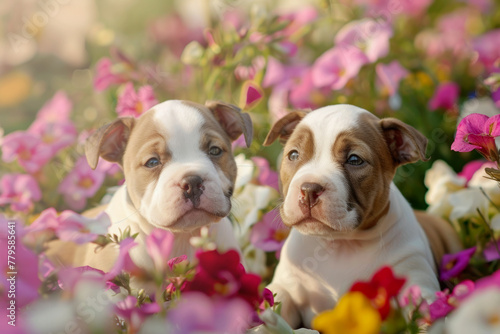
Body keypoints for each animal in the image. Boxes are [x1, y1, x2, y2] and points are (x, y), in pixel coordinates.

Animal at [264, 104, 462, 328]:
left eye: (354, 160)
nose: (309, 189)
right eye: (293, 155)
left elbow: (426, 311)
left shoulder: (414, 275)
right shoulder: (287, 286)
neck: (341, 244)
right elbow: (272, 306)